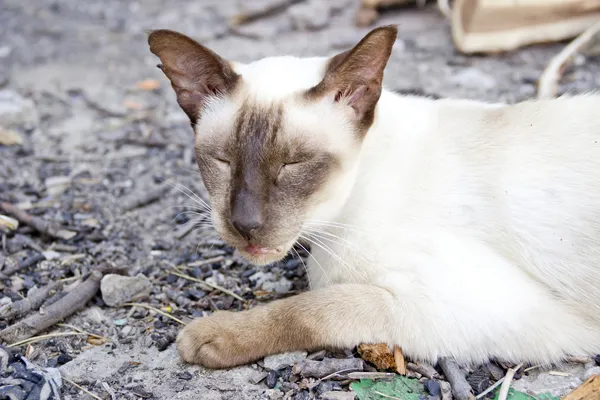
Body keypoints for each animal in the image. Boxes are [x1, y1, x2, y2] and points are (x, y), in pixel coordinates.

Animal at [146, 24, 600, 368]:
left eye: (293, 163)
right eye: (222, 160)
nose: (245, 224)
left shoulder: (472, 305)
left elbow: (311, 308)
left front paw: (210, 336)